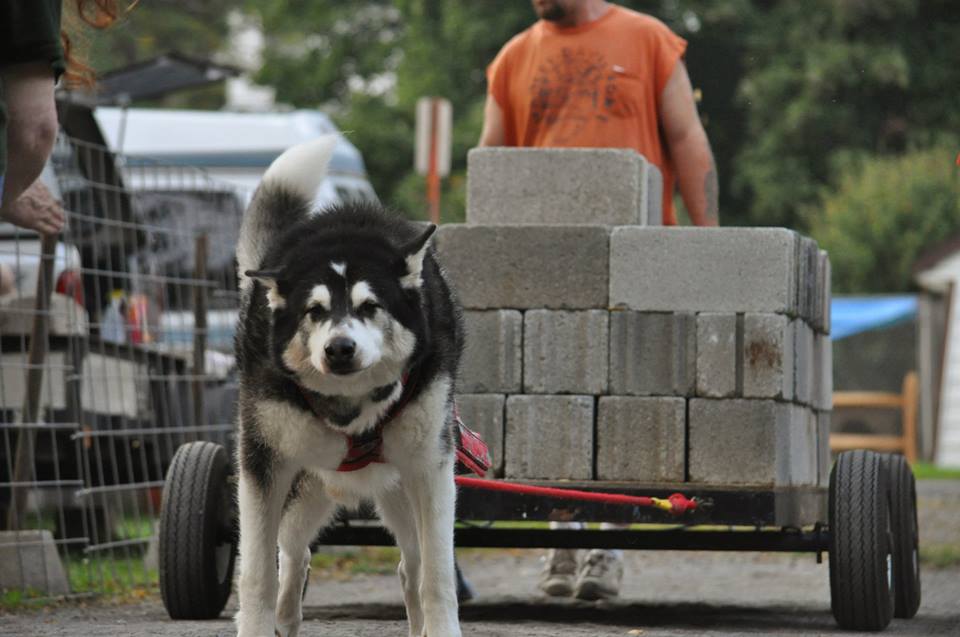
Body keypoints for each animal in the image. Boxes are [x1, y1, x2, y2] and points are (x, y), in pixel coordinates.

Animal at [234, 137, 464, 632]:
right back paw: (286, 616)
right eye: (314, 311)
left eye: (370, 306)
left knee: (412, 564)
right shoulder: (264, 465)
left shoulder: (430, 467)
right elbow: (257, 574)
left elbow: (437, 577)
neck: (351, 407)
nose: (339, 349)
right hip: (306, 486)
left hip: (398, 491)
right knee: (294, 553)